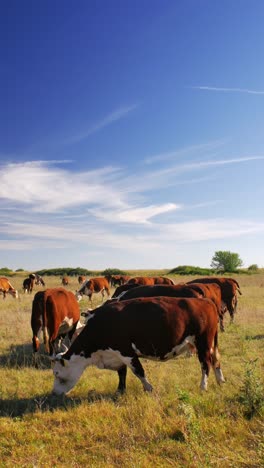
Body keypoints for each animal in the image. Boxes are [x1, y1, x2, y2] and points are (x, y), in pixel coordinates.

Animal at [50, 296, 224, 394]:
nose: (53, 393)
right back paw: (220, 381)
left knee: (205, 364)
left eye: (57, 374)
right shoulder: (116, 355)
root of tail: (205, 301)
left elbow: (138, 372)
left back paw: (203, 387)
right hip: (210, 344)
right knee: (216, 360)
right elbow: (122, 373)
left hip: (203, 343)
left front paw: (149, 389)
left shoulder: (127, 352)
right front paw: (120, 391)